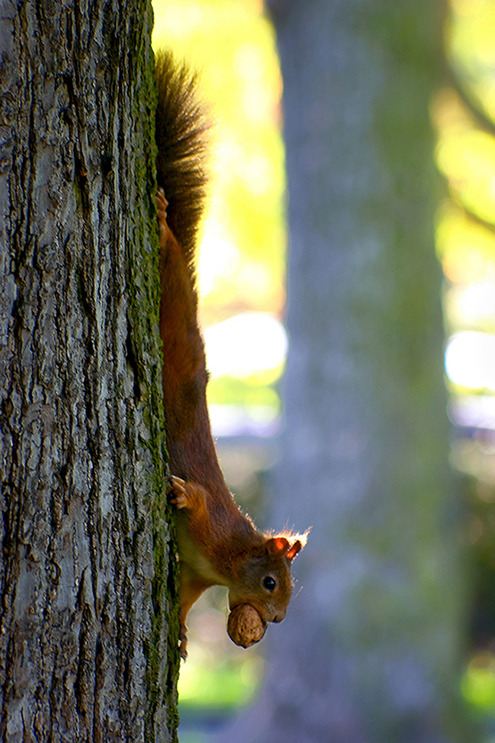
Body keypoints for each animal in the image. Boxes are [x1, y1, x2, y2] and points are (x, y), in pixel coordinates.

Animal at [154, 50, 306, 656]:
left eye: (291, 588)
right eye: (270, 582)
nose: (279, 620)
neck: (227, 559)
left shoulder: (198, 575)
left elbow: (185, 599)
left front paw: (179, 635)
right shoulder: (212, 528)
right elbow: (196, 501)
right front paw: (180, 493)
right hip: (173, 294)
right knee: (170, 252)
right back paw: (159, 219)